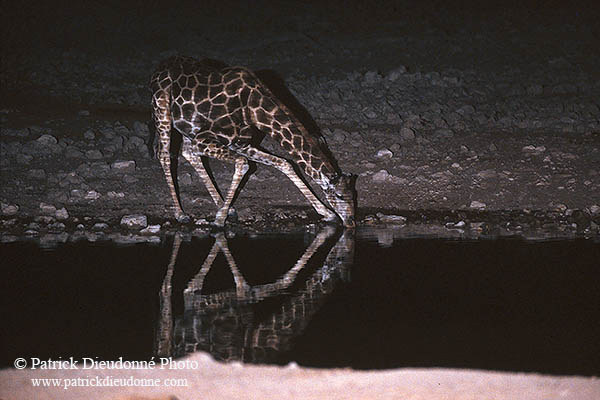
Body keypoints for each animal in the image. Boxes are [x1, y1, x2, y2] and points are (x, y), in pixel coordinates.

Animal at [150, 55, 356, 228]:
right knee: (165, 155)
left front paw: (326, 213)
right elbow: (244, 164)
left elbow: (285, 163)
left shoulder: (241, 144)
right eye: (339, 195)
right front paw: (219, 220)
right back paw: (181, 214)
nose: (351, 221)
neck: (254, 110)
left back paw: (225, 207)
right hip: (162, 111)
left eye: (353, 194)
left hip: (187, 126)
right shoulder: (204, 138)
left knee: (187, 153)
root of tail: (160, 67)